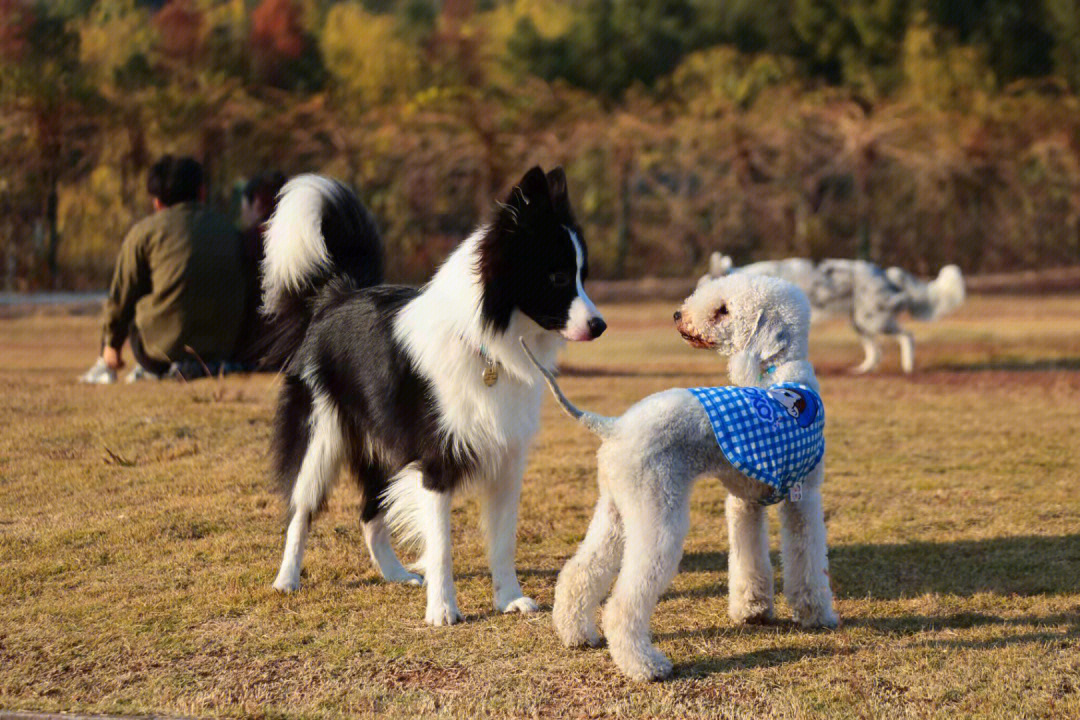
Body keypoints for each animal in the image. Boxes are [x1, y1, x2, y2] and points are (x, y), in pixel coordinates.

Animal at [257, 169, 604, 626]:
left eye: (582, 274)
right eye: (559, 277)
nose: (600, 325)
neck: (485, 345)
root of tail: (337, 295)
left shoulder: (507, 460)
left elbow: (503, 541)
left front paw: (509, 598)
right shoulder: (436, 461)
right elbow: (441, 544)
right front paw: (442, 610)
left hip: (383, 444)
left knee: (369, 513)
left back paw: (395, 574)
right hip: (322, 436)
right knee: (300, 508)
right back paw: (286, 579)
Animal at [518, 274, 838, 682]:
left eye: (723, 311)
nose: (677, 316)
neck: (781, 379)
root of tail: (614, 426)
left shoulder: (744, 503)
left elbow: (749, 560)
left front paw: (752, 610)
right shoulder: (805, 497)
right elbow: (808, 561)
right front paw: (818, 614)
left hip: (616, 510)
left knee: (579, 572)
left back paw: (576, 634)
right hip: (658, 512)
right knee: (624, 602)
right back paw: (646, 664)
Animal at [704, 253, 967, 375]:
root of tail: (886, 274)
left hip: (874, 321)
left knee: (907, 336)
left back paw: (908, 365)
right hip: (861, 323)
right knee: (875, 350)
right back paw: (863, 370)